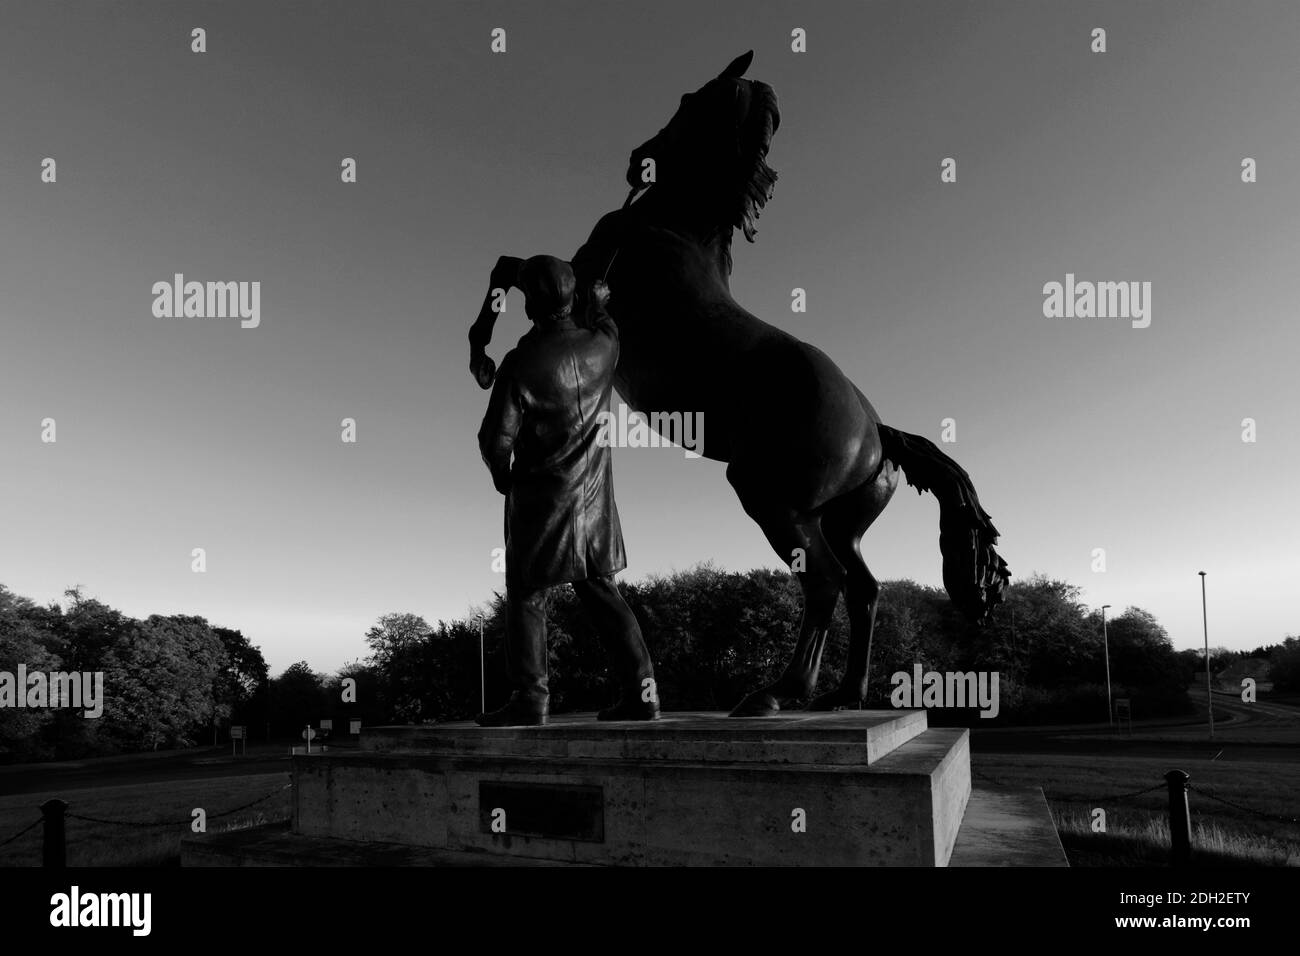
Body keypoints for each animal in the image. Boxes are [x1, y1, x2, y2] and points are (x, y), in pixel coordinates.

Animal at [467, 48, 1003, 712]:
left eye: (688, 101)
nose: (636, 158)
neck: (674, 225)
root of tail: (877, 432)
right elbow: (508, 266)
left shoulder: (580, 276)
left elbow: (509, 266)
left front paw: (480, 357)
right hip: (839, 523)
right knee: (865, 589)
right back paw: (843, 694)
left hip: (773, 502)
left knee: (825, 584)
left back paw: (779, 692)